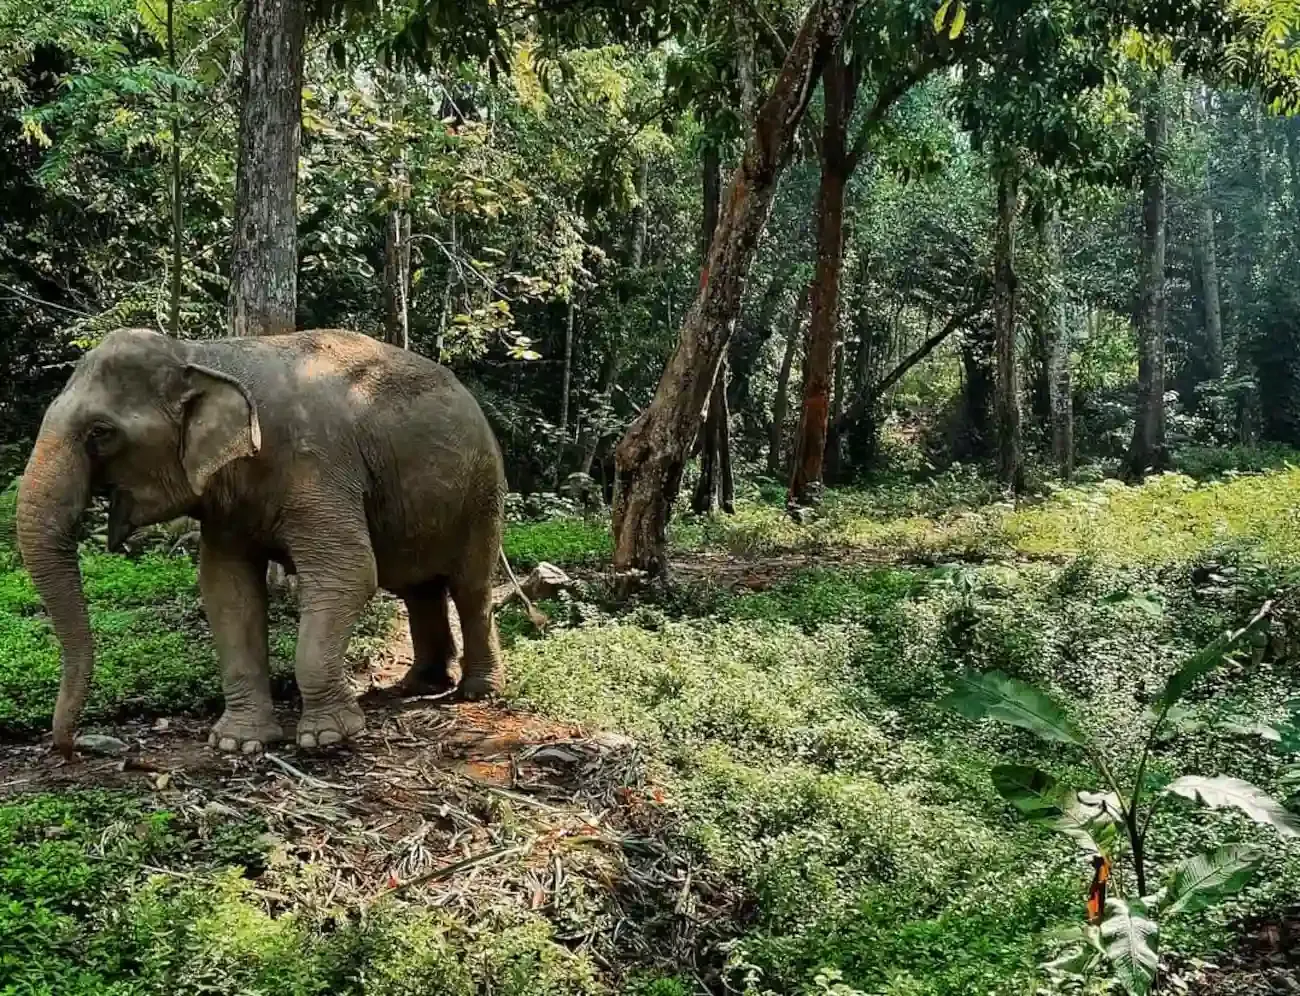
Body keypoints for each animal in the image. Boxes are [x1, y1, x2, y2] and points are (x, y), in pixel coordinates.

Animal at [17, 327, 510, 755]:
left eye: (100, 433)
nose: (73, 748)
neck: (203, 353)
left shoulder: (319, 467)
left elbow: (348, 573)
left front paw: (327, 737)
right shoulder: (228, 505)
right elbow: (226, 590)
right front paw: (238, 742)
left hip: (483, 492)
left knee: (470, 587)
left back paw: (476, 693)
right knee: (417, 589)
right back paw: (419, 685)